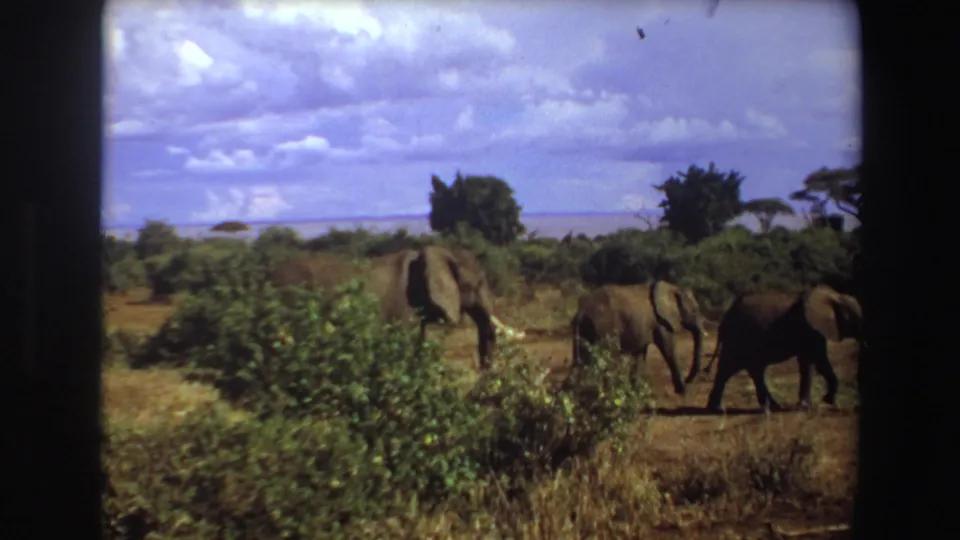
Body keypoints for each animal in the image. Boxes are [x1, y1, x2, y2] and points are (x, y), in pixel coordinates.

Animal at [569, 281, 708, 395]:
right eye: (694, 311)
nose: (688, 382)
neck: (673, 288)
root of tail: (581, 313)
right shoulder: (660, 321)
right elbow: (668, 348)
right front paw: (683, 391)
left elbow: (640, 354)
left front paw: (634, 392)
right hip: (605, 330)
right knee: (608, 360)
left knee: (581, 361)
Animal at [696, 285, 864, 414]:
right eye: (853, 318)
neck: (835, 295)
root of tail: (725, 318)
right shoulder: (808, 328)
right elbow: (819, 360)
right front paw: (824, 401)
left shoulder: (812, 330)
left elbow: (809, 363)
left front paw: (809, 405)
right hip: (738, 338)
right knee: (731, 368)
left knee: (749, 370)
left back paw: (770, 407)